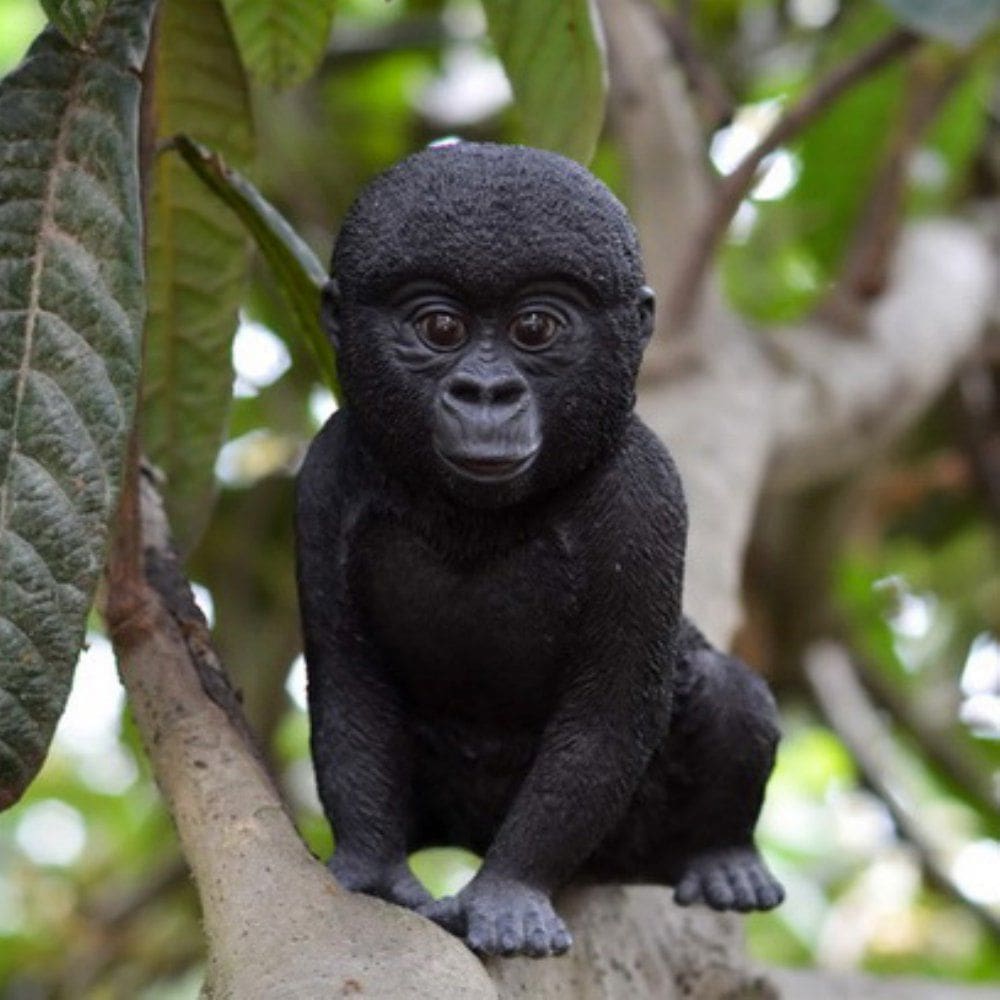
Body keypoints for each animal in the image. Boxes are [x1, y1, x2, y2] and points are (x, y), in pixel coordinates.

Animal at [295, 142, 784, 959]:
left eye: (534, 328)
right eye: (439, 327)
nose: (486, 393)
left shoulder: (644, 494)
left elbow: (610, 714)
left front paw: (507, 894)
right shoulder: (326, 473)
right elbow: (347, 680)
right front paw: (372, 873)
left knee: (727, 691)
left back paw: (725, 859)